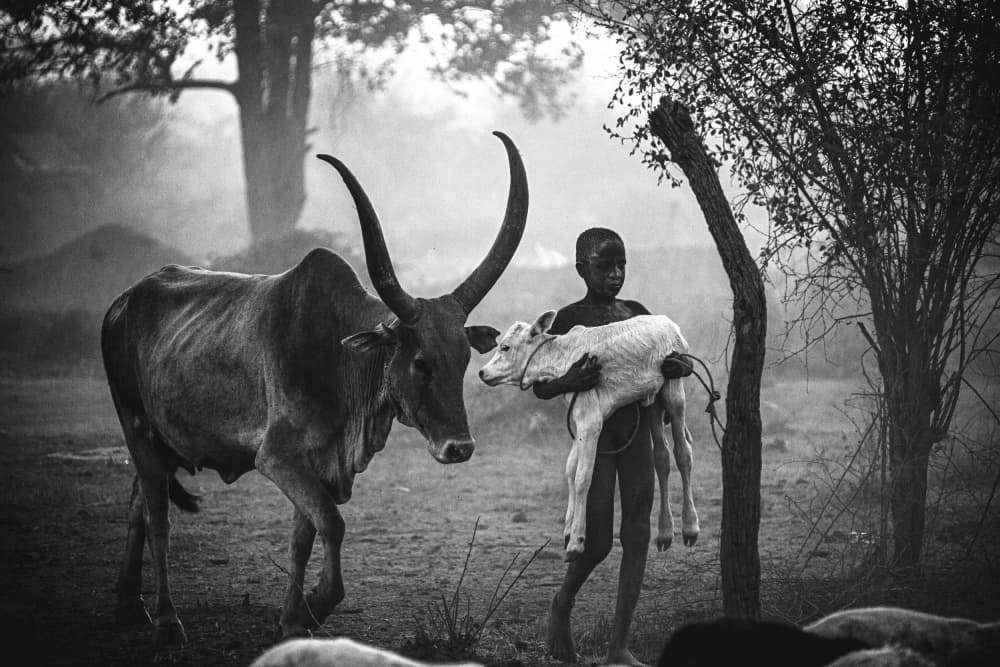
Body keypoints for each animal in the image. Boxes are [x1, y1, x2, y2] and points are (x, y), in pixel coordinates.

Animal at [101, 131, 527, 648]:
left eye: (465, 359)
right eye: (420, 362)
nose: (459, 447)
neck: (339, 359)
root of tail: (123, 301)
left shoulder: (317, 463)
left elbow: (302, 539)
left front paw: (291, 619)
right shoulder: (278, 458)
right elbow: (333, 524)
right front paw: (317, 604)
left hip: (156, 439)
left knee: (139, 504)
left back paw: (129, 602)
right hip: (135, 427)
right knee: (159, 517)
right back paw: (166, 619)